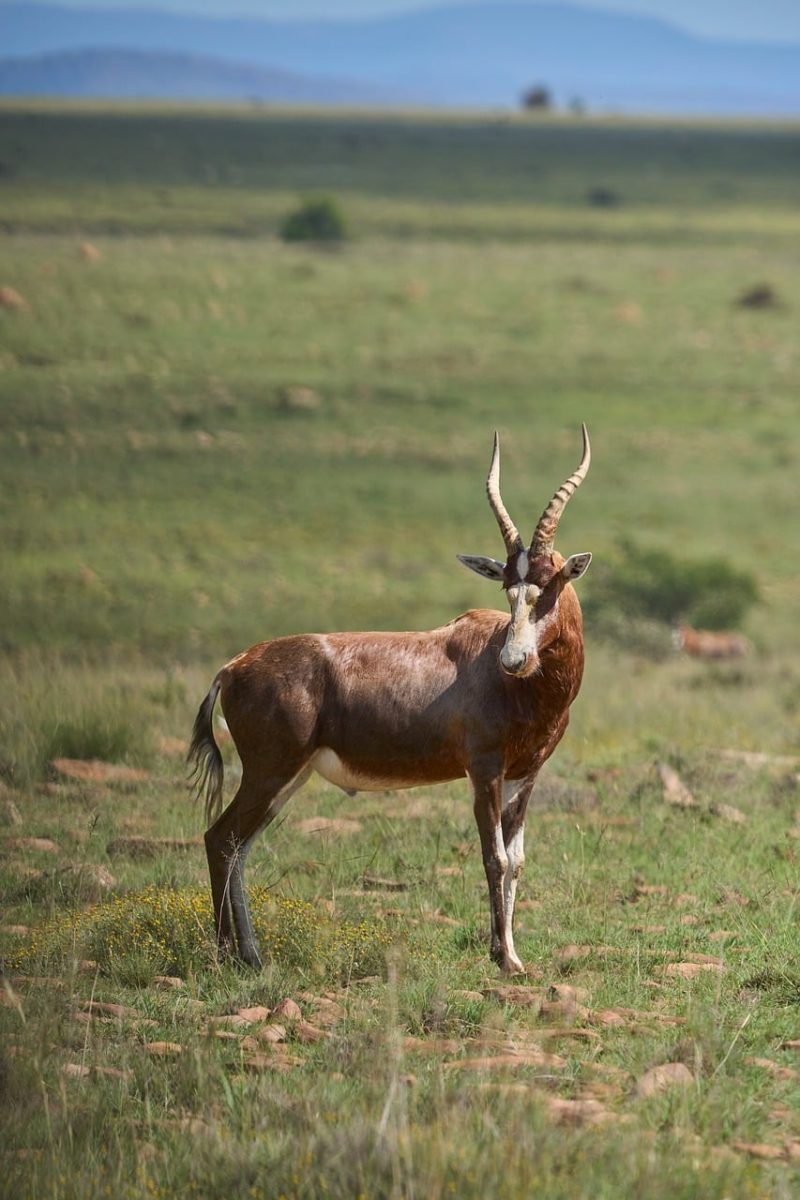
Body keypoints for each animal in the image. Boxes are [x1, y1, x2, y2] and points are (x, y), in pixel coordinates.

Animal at [189, 426, 592, 975]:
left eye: (549, 584)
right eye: (509, 588)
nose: (514, 659)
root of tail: (232, 667)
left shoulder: (523, 776)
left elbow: (518, 862)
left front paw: (514, 955)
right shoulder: (483, 769)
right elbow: (495, 858)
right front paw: (503, 959)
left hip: (289, 776)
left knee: (239, 846)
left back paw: (251, 956)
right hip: (269, 769)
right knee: (221, 838)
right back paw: (229, 955)